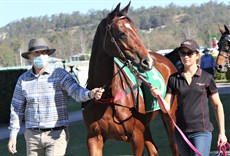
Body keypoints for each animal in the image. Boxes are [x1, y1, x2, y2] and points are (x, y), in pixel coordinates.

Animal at [82, 1, 179, 155]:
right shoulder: (94, 139)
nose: (147, 61)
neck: (107, 96)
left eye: (136, 30)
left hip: (169, 116)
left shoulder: (136, 137)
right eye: (122, 33)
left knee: (174, 146)